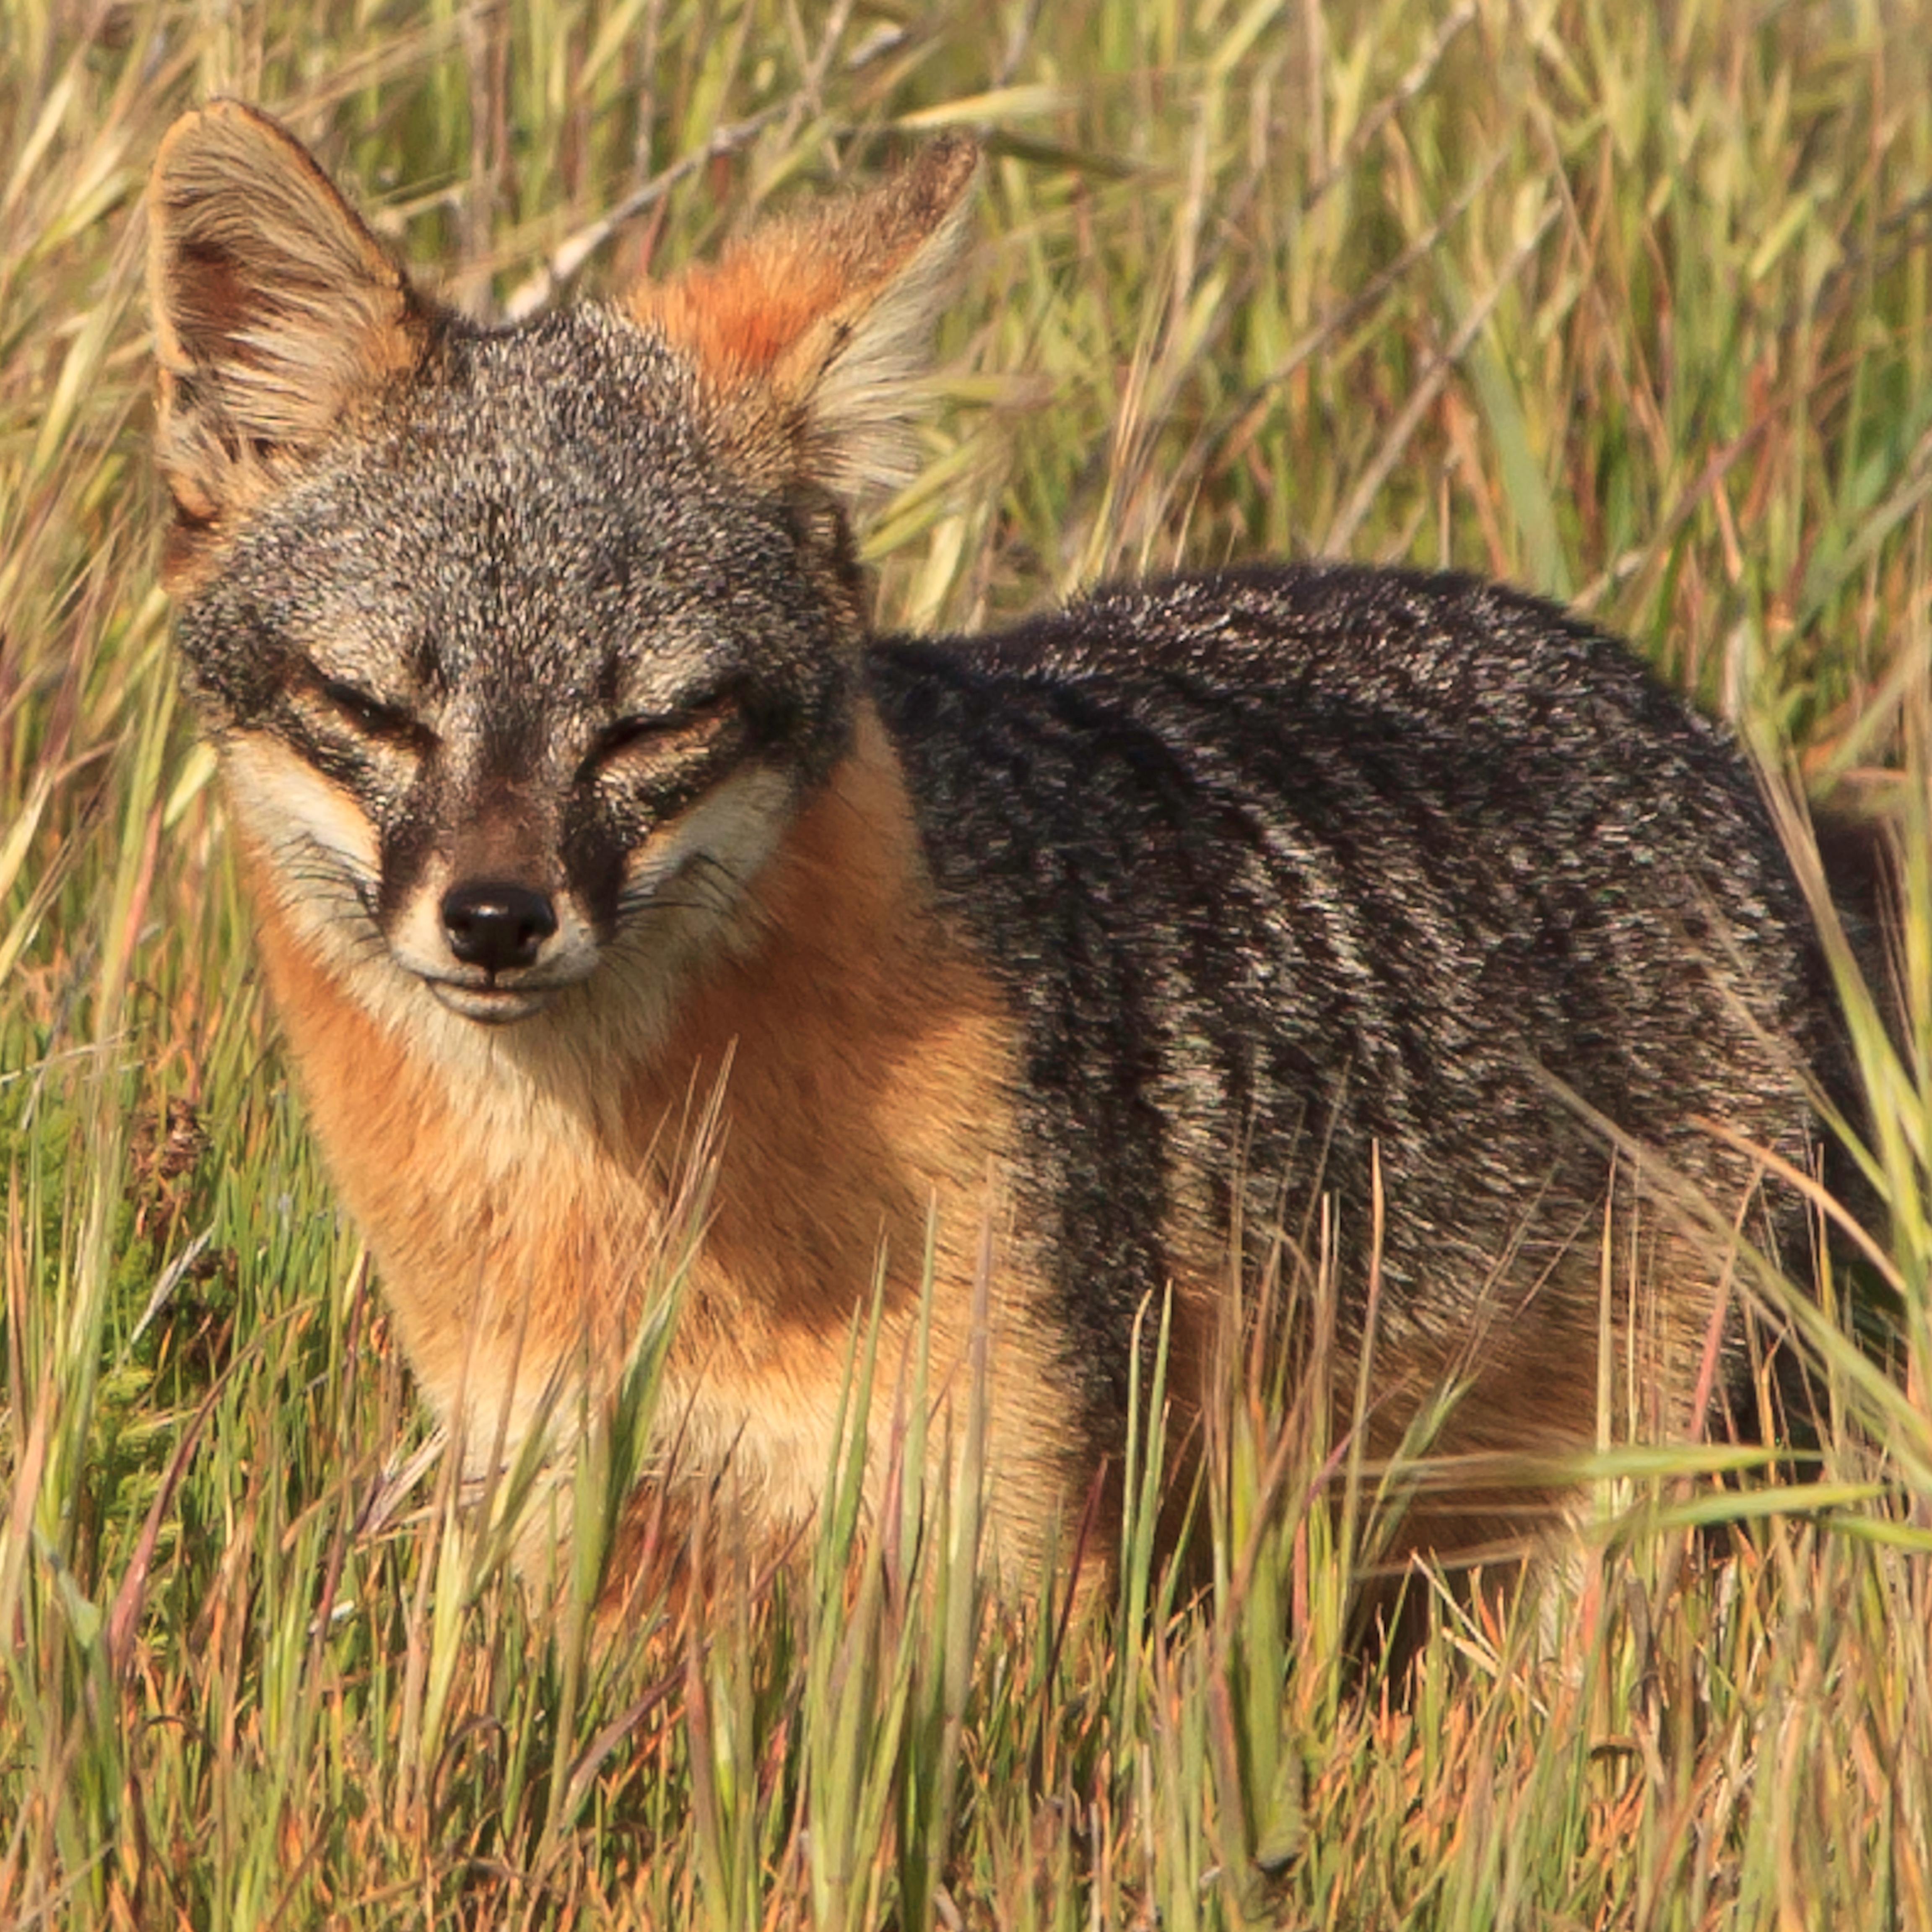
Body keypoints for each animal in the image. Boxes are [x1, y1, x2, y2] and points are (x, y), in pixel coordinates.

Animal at [147, 102, 1866, 1596]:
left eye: (651, 725)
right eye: (371, 706)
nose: (497, 919)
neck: (607, 1206)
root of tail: (1681, 716)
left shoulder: (1008, 1536)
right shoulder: (556, 1499)